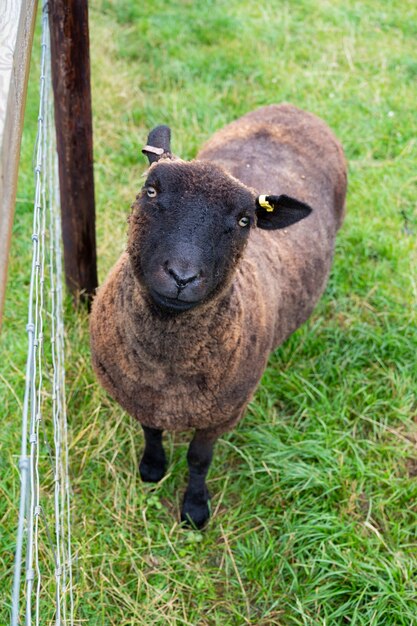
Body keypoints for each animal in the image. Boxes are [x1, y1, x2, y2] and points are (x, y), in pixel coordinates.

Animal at [89, 102, 346, 528]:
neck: (165, 370)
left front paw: (194, 508)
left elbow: (198, 459)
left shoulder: (223, 414)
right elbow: (151, 432)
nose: (182, 276)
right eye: (151, 190)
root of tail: (293, 107)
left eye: (244, 221)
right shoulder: (139, 396)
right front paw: (152, 469)